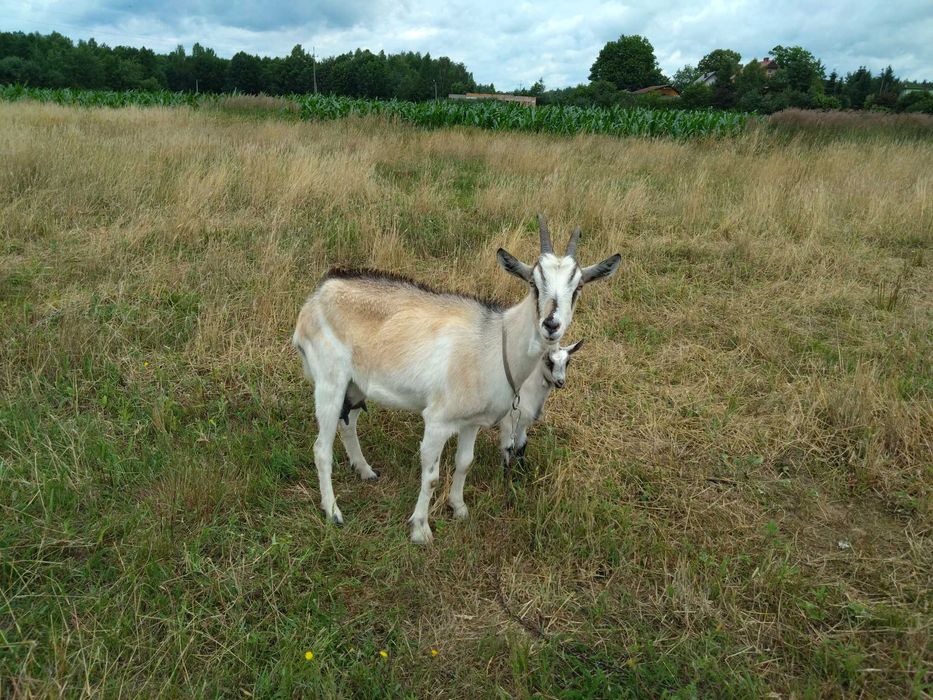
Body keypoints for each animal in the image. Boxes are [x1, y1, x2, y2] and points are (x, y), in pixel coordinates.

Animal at [288, 216, 616, 544]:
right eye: (534, 283)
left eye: (578, 287)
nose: (551, 325)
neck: (495, 343)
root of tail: (316, 297)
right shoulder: (438, 420)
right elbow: (432, 476)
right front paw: (420, 529)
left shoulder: (472, 421)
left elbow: (465, 463)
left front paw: (458, 508)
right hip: (330, 381)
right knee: (321, 448)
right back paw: (333, 512)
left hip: (356, 386)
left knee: (348, 425)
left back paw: (365, 470)